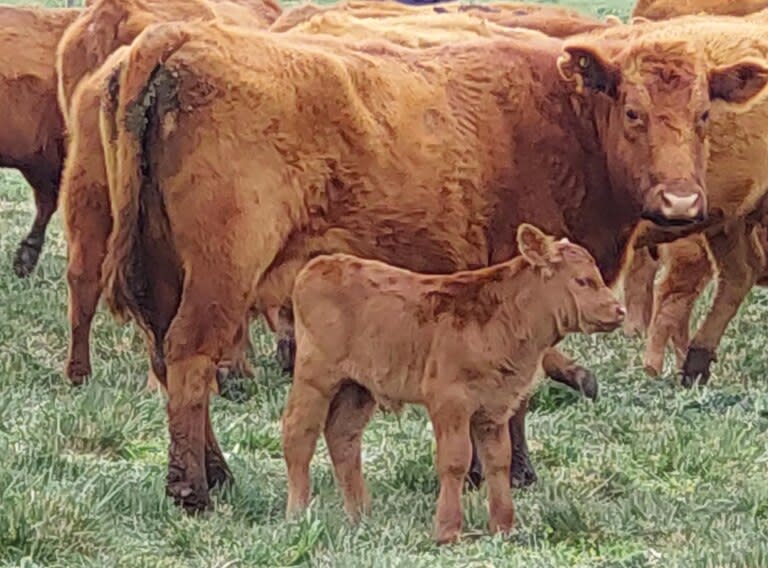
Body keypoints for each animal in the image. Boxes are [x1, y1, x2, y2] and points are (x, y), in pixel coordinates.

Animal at [96, 18, 756, 510]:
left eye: (703, 115)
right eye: (633, 112)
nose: (680, 202)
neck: (564, 119)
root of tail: (182, 35)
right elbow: (518, 387)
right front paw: (513, 472)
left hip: (165, 273)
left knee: (168, 359)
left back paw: (218, 474)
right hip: (221, 272)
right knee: (190, 357)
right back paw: (193, 491)